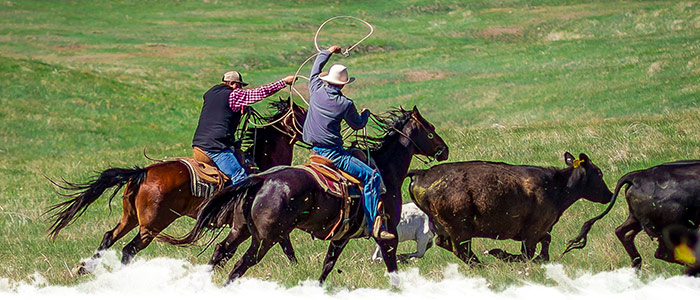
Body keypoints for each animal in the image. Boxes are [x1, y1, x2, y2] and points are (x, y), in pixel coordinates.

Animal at [44, 98, 306, 272]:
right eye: (303, 114)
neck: (262, 162)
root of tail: (142, 173)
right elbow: (284, 246)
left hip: (130, 218)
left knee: (109, 237)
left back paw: (85, 269)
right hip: (152, 226)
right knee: (129, 249)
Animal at [163, 106, 448, 284]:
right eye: (431, 130)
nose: (444, 150)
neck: (384, 169)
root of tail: (261, 180)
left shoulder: (341, 237)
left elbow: (327, 265)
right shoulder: (387, 235)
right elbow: (392, 266)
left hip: (241, 229)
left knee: (222, 251)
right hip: (264, 238)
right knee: (242, 263)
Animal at [404, 152, 612, 264]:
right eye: (599, 173)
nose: (610, 195)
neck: (554, 185)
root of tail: (421, 173)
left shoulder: (541, 229)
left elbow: (544, 246)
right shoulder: (533, 231)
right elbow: (528, 254)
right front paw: (501, 254)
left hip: (445, 228)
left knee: (446, 245)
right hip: (459, 229)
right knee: (461, 251)